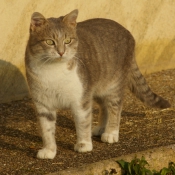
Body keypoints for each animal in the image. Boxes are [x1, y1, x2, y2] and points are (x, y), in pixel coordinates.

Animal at [24, 9, 170, 160]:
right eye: (49, 42)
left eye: (67, 41)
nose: (61, 52)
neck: (53, 70)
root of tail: (126, 31)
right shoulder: (43, 104)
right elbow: (47, 130)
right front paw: (49, 150)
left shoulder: (81, 100)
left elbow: (83, 123)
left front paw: (84, 144)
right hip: (98, 89)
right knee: (104, 107)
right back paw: (101, 128)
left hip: (113, 86)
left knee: (115, 108)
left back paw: (111, 133)